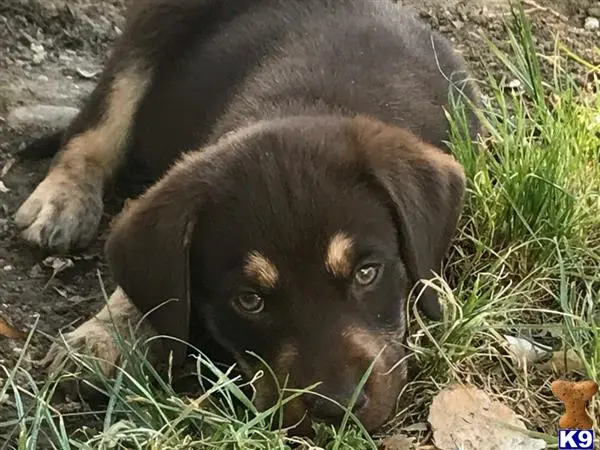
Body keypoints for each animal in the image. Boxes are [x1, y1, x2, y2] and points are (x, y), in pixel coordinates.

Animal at [16, 0, 480, 438]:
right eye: (249, 300)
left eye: (367, 273)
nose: (338, 408)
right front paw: (101, 337)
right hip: (141, 48)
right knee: (91, 133)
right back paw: (60, 203)